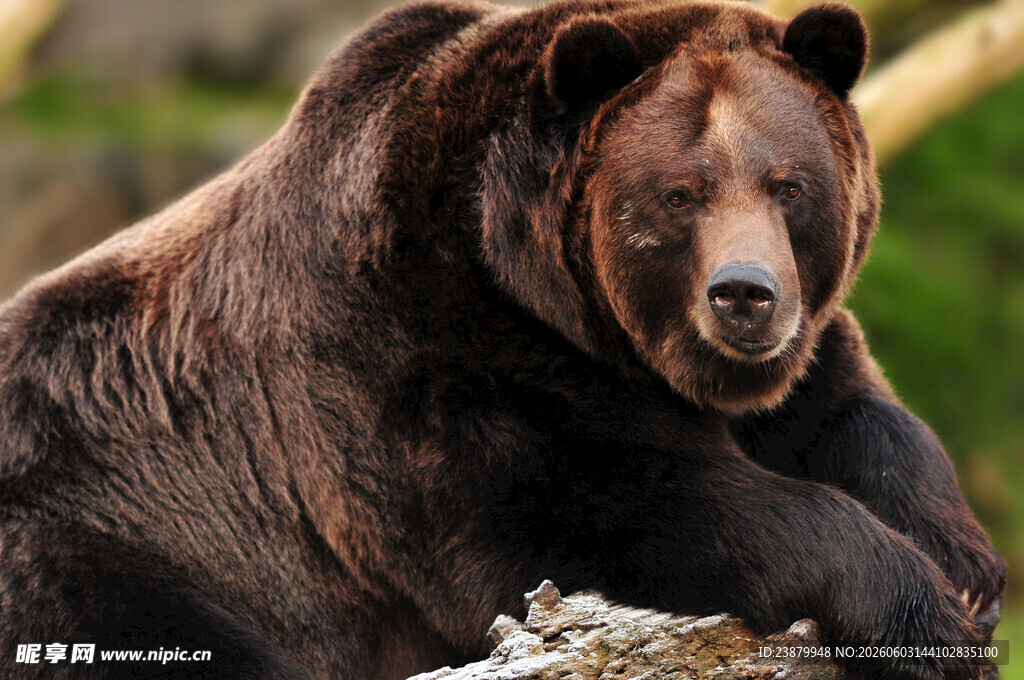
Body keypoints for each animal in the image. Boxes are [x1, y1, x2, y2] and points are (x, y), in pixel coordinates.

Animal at [0, 0, 1006, 679]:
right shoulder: (426, 364)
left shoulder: (785, 356)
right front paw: (920, 615)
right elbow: (609, 512)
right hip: (102, 541)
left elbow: (856, 411)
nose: (744, 296)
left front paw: (965, 565)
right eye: (679, 193)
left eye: (788, 183)